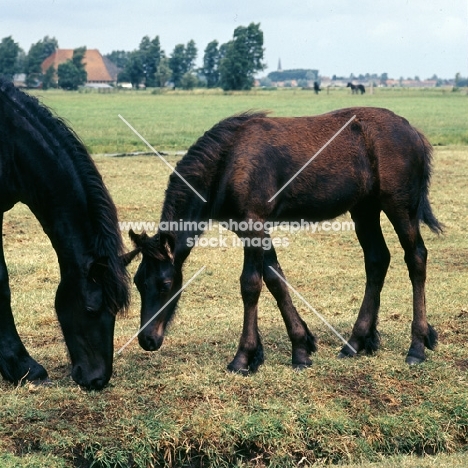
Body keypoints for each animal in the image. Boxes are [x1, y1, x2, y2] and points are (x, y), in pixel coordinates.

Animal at [128, 108, 442, 374]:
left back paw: (417, 346)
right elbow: (275, 279)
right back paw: (356, 341)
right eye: (138, 282)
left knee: (416, 257)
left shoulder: (253, 226)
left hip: (400, 207)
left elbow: (251, 284)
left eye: (166, 284)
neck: (226, 161)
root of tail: (414, 132)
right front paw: (301, 348)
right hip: (364, 209)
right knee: (377, 259)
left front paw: (243, 357)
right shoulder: (253, 230)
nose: (147, 340)